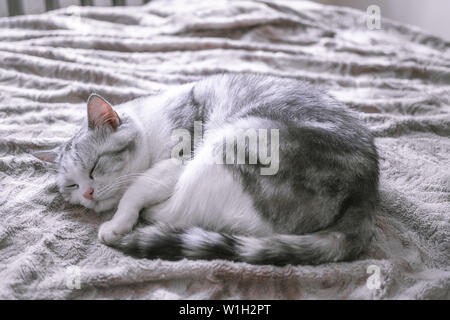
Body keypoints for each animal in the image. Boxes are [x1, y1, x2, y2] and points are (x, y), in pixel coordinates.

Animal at [34, 73, 380, 264]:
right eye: (71, 186)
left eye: (94, 167)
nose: (88, 194)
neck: (149, 122)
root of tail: (366, 192)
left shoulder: (176, 161)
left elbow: (134, 190)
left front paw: (117, 221)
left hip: (231, 142)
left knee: (185, 214)